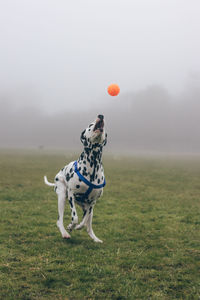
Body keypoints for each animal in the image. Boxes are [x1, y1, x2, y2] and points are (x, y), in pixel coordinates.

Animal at [43, 113, 106, 243]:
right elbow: (75, 217)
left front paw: (77, 227)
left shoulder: (92, 203)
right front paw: (71, 226)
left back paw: (95, 238)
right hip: (62, 196)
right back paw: (65, 233)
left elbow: (84, 220)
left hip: (86, 207)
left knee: (88, 226)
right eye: (90, 125)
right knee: (59, 220)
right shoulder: (71, 195)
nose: (101, 116)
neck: (93, 165)